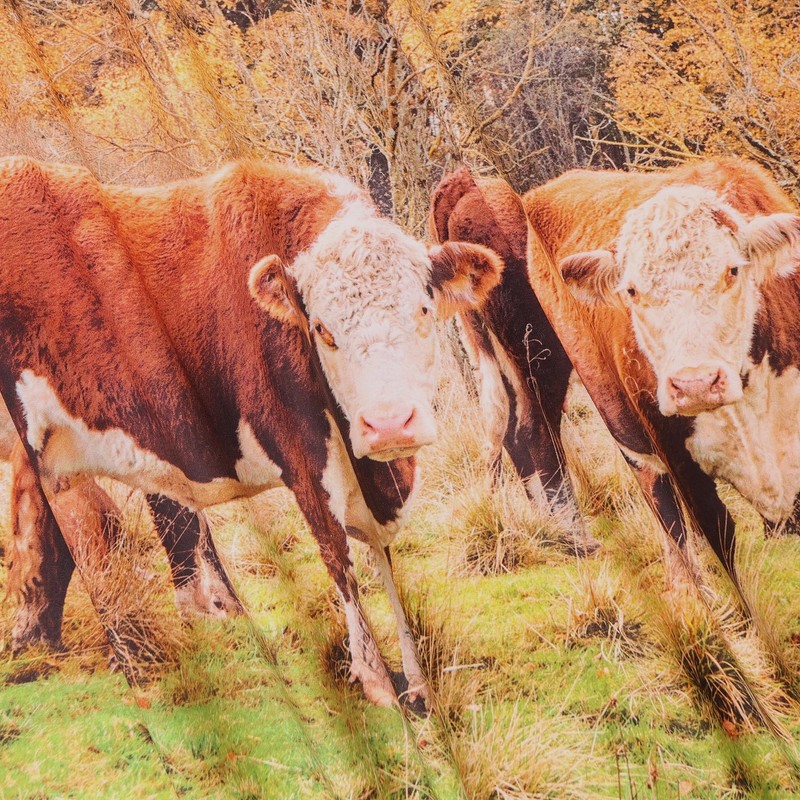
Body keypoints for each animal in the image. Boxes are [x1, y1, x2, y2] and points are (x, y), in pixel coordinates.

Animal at [0, 156, 502, 707]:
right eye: (322, 330)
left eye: (423, 309)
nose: (389, 423)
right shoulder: (301, 455)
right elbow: (339, 558)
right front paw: (379, 688)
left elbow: (381, 558)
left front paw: (417, 684)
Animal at [432, 159, 800, 591]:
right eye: (632, 291)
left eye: (733, 271)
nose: (694, 384)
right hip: (542, 360)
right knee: (538, 432)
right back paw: (581, 539)